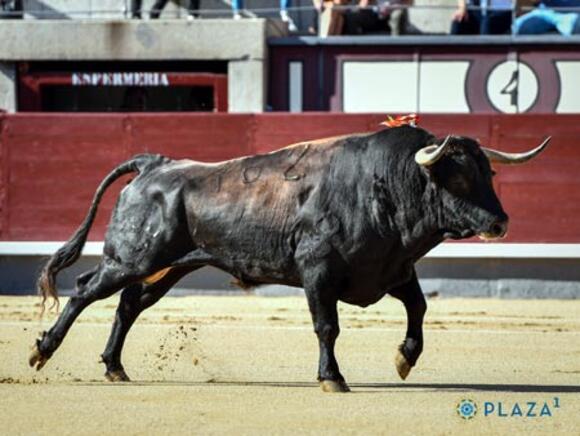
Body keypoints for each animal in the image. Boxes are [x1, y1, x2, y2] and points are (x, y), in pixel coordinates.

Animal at [29, 125, 552, 392]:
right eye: (459, 177)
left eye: (490, 173)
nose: (500, 222)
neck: (386, 184)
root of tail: (155, 164)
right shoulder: (318, 272)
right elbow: (327, 326)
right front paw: (332, 378)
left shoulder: (392, 270)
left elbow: (419, 309)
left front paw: (404, 359)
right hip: (131, 258)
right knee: (84, 292)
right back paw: (43, 351)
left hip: (168, 267)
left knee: (128, 305)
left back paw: (114, 367)